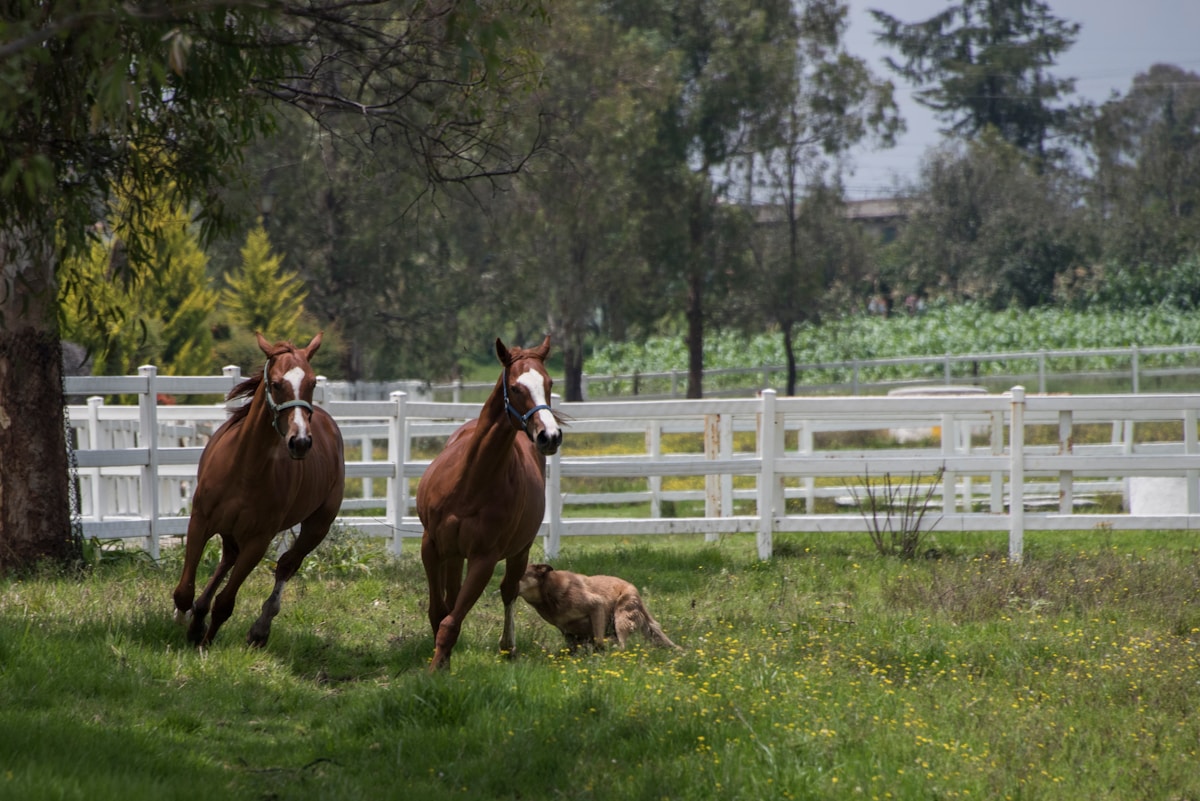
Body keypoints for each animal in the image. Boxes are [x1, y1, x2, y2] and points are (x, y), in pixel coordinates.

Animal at [171, 330, 345, 642]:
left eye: (313, 383)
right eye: (276, 384)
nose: (301, 441)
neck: (245, 470)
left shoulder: (258, 540)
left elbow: (225, 603)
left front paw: (205, 640)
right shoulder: (200, 521)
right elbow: (184, 590)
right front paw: (185, 622)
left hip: (318, 525)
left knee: (287, 564)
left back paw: (260, 629)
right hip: (229, 530)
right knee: (228, 558)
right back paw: (199, 614)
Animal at [415, 335, 564, 671]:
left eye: (549, 383)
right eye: (517, 387)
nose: (550, 436)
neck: (469, 484)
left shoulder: (484, 559)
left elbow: (451, 621)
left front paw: (437, 668)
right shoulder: (431, 546)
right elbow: (439, 612)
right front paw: (439, 665)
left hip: (518, 551)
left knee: (509, 591)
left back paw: (507, 646)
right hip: (453, 554)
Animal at [520, 563, 681, 652]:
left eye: (521, 574)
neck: (548, 594)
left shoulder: (596, 605)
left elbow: (599, 640)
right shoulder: (565, 630)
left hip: (620, 618)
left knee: (622, 645)